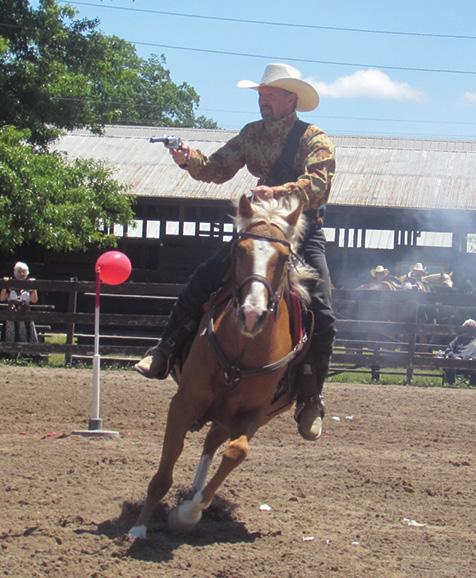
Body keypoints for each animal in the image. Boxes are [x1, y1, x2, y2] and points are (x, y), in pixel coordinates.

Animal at [128, 194, 314, 539]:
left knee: (215, 442)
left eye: (284, 258)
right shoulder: (183, 403)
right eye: (239, 250)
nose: (252, 314)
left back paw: (194, 498)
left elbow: (236, 452)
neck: (241, 353)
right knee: (210, 441)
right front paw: (139, 528)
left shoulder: (254, 414)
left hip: (245, 415)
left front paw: (188, 513)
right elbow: (164, 471)